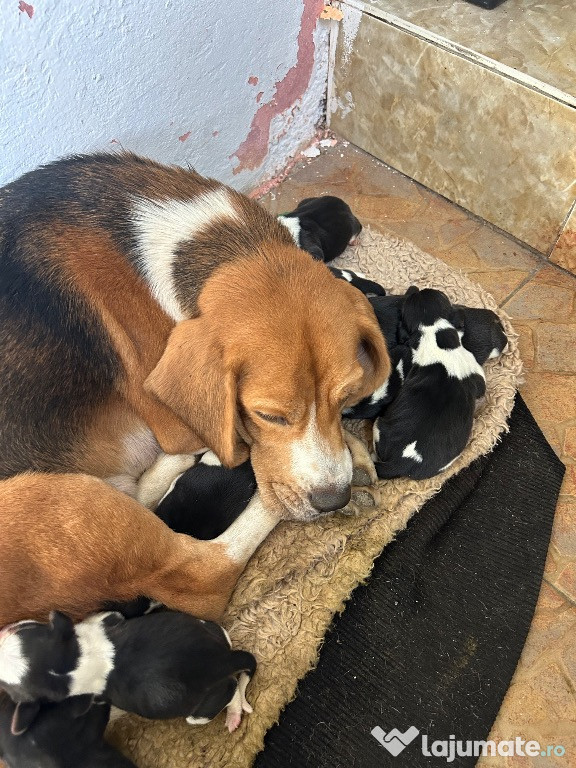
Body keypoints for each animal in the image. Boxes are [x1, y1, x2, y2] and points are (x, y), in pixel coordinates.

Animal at [0, 608, 256, 736]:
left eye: (6, 687)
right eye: (26, 627)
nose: (4, 629)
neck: (78, 660)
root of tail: (222, 660)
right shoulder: (108, 618)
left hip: (200, 711)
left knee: (232, 689)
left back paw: (233, 715)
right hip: (208, 628)